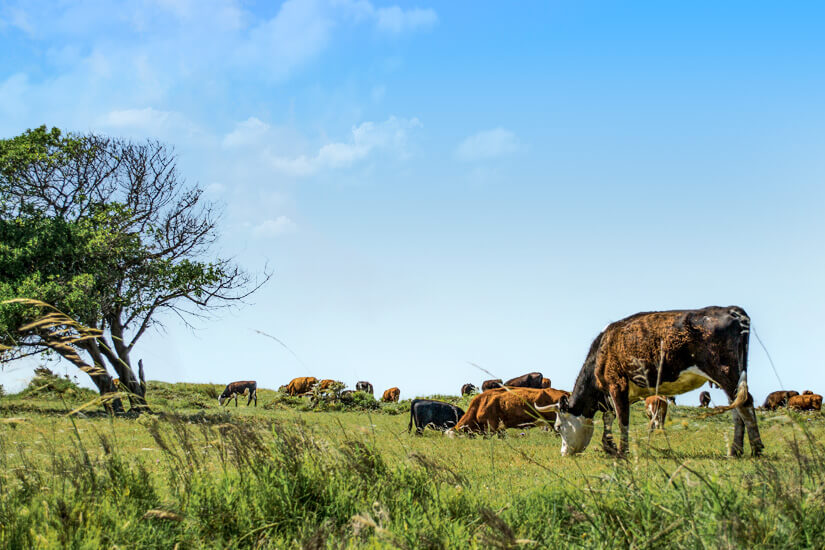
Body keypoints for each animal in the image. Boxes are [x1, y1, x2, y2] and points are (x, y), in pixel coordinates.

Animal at [536, 308, 764, 460]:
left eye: (558, 426)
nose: (563, 453)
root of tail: (731, 310)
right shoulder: (611, 394)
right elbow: (609, 419)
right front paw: (609, 447)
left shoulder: (617, 385)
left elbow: (622, 420)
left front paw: (621, 452)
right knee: (737, 409)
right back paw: (735, 451)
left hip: (725, 372)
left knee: (745, 405)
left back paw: (756, 449)